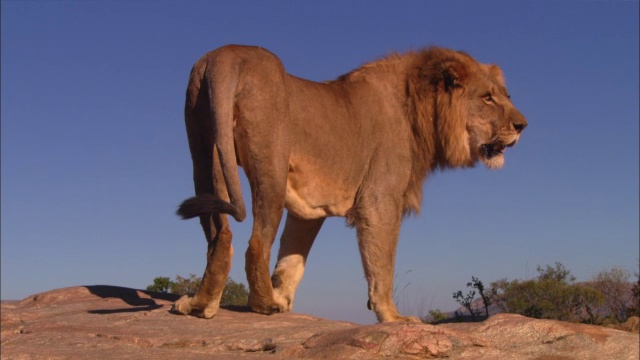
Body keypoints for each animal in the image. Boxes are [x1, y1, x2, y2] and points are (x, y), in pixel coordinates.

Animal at [172, 43, 528, 322]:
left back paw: (200, 305)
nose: (522, 125)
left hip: (204, 150)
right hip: (269, 163)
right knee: (257, 242)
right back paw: (264, 305)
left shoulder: (309, 209)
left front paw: (284, 297)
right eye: (487, 98)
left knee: (220, 235)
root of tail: (228, 55)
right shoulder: (380, 199)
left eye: (506, 95)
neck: (420, 109)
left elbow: (293, 258)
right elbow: (382, 264)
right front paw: (393, 317)